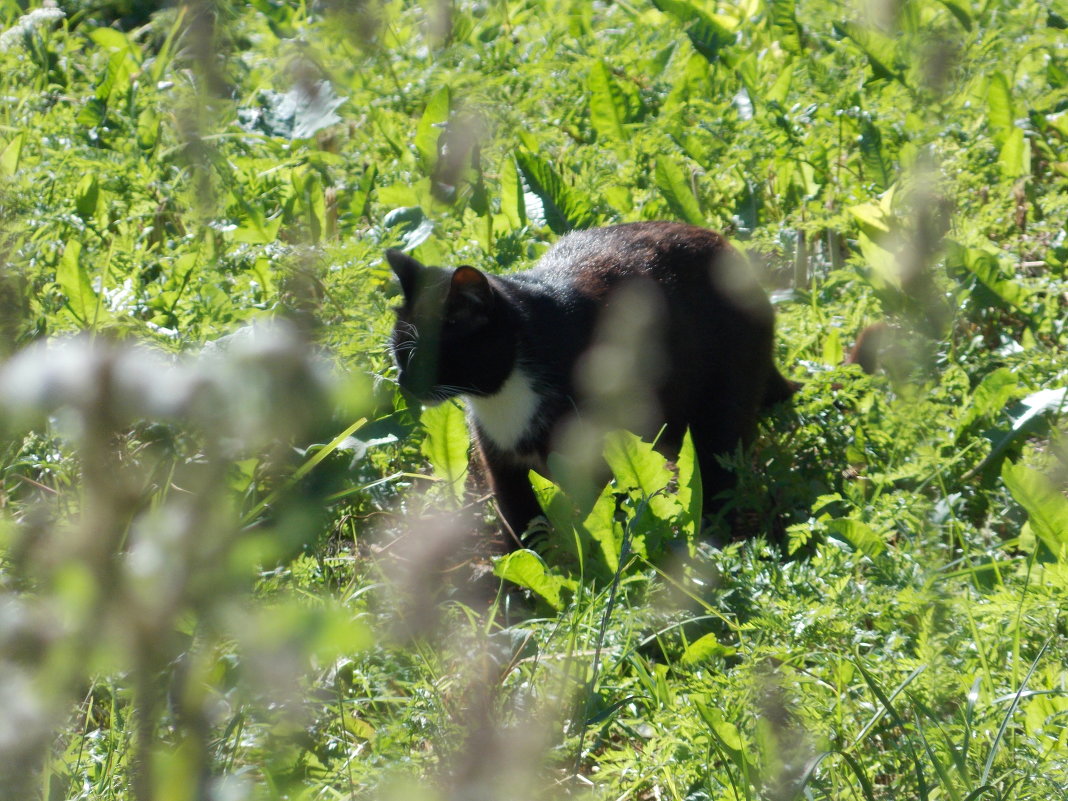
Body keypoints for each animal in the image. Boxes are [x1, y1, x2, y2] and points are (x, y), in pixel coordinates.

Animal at [388, 221, 798, 546]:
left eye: (427, 358)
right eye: (397, 353)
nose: (403, 382)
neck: (504, 395)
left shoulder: (594, 454)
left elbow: (593, 513)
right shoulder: (499, 462)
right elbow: (519, 521)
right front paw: (526, 581)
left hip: (720, 404)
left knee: (719, 471)